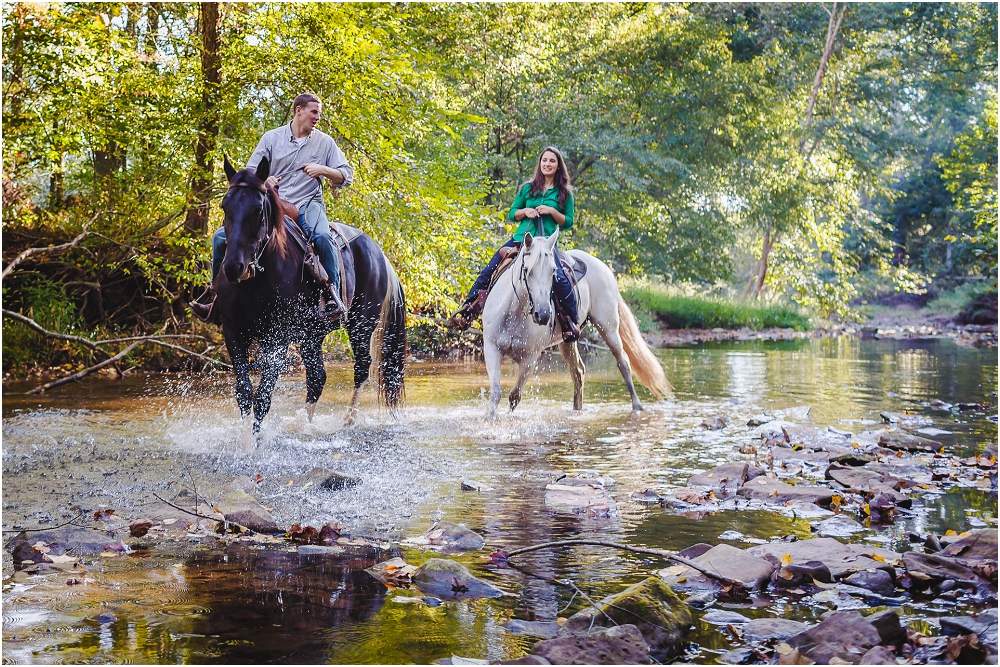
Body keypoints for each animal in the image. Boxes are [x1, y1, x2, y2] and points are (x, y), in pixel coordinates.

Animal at [219, 155, 406, 438]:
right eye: (224, 206)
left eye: (259, 211)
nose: (233, 267)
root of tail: (379, 253)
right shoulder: (233, 332)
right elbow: (243, 392)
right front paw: (243, 440)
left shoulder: (278, 339)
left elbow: (262, 397)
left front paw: (255, 442)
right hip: (312, 336)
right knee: (318, 377)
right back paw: (305, 426)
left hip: (361, 326)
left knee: (361, 367)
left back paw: (348, 420)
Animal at [482, 230, 672, 418]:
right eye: (527, 270)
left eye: (553, 271)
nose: (543, 315)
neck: (514, 314)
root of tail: (603, 267)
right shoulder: (491, 348)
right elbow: (496, 393)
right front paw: (491, 419)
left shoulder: (530, 358)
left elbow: (515, 396)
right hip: (568, 339)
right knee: (578, 371)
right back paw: (577, 409)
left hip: (608, 327)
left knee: (623, 362)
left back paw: (637, 406)